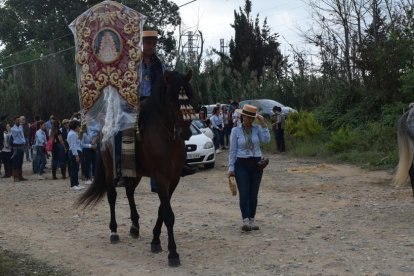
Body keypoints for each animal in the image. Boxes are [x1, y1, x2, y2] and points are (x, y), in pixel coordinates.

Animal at [75, 70, 194, 266]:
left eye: (190, 98)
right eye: (171, 101)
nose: (186, 133)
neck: (166, 137)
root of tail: (103, 130)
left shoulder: (174, 178)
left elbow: (162, 210)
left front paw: (155, 240)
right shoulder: (161, 178)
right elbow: (168, 214)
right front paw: (173, 253)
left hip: (135, 172)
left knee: (130, 193)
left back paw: (135, 226)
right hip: (110, 170)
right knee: (112, 197)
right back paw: (114, 231)